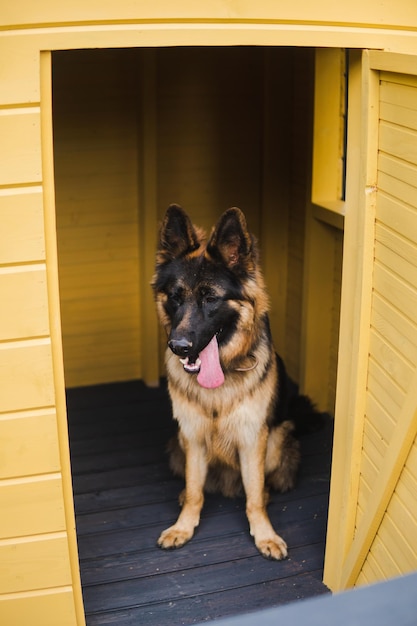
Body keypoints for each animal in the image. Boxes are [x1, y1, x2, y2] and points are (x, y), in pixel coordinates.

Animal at [151, 206, 320, 560]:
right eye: (175, 297)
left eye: (210, 299)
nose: (179, 347)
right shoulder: (193, 437)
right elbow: (194, 490)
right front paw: (183, 526)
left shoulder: (253, 438)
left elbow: (254, 496)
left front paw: (265, 534)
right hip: (178, 443)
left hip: (276, 441)